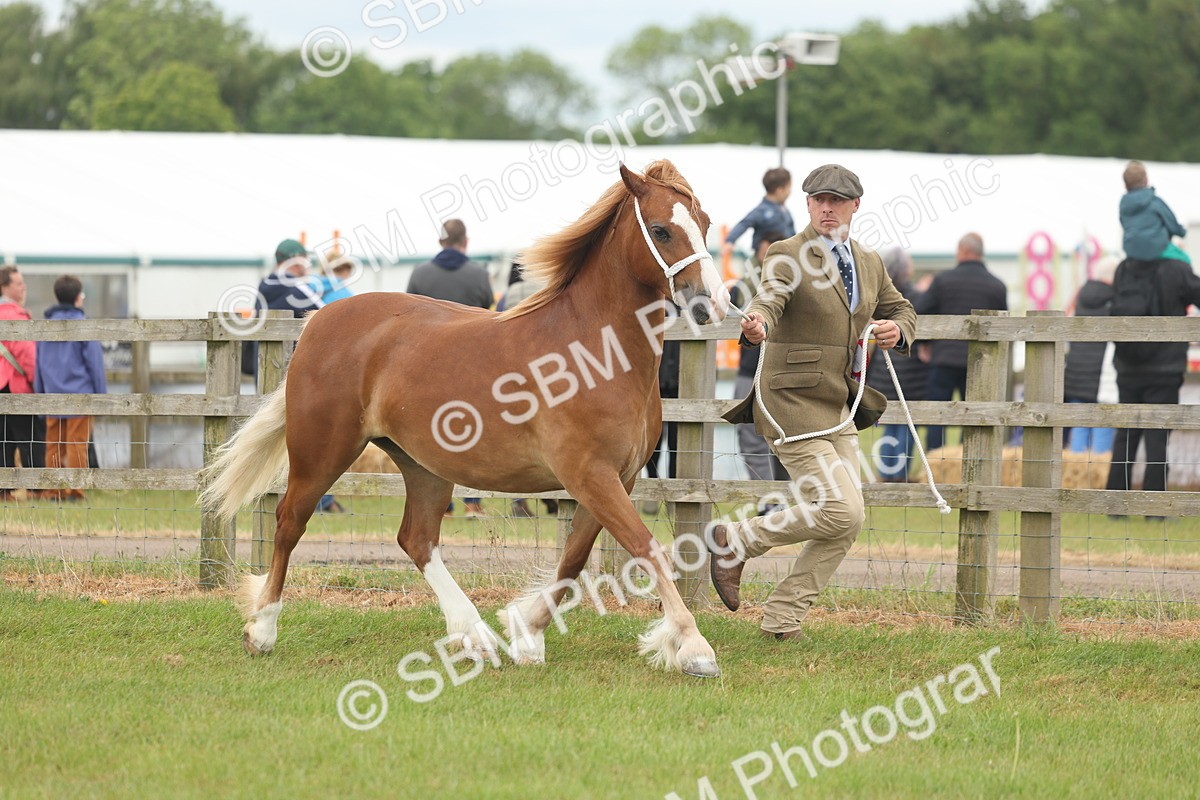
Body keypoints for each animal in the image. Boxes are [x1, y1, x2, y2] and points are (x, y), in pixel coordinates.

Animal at [200, 160, 732, 678]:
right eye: (661, 230)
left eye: (706, 224)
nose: (713, 304)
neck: (592, 353)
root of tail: (318, 321)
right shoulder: (590, 474)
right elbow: (645, 547)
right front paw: (694, 648)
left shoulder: (614, 479)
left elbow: (573, 560)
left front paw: (526, 634)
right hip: (322, 451)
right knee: (290, 522)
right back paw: (262, 630)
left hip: (422, 465)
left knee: (416, 539)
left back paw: (475, 636)